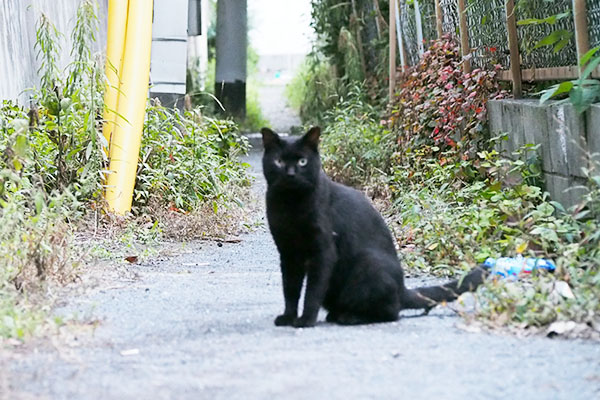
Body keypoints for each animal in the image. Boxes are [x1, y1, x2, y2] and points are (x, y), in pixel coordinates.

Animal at [262, 127, 488, 328]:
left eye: (302, 161)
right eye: (279, 161)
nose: (290, 174)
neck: (290, 205)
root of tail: (402, 289)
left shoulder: (324, 251)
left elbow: (312, 291)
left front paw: (306, 320)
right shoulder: (288, 252)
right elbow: (290, 289)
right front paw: (288, 317)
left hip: (369, 262)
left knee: (391, 312)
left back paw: (350, 318)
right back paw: (338, 315)